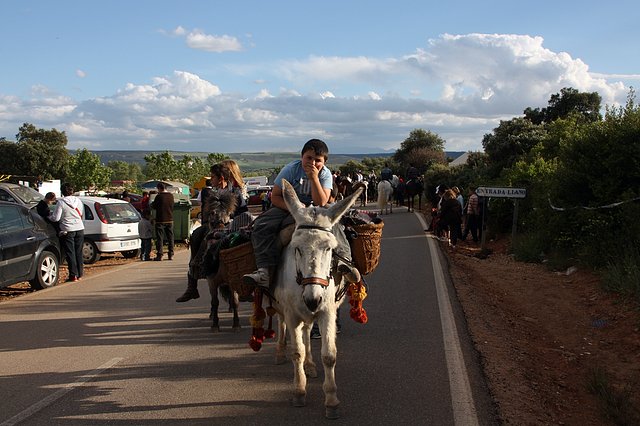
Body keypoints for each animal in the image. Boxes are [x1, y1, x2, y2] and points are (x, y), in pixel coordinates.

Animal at [268, 180, 362, 420]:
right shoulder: (292, 314)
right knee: (284, 328)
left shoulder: (326, 312)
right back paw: (280, 352)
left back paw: (310, 366)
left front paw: (331, 401)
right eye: (296, 248)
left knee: (307, 332)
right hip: (282, 308)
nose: (313, 299)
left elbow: (328, 355)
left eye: (329, 248)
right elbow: (296, 352)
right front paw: (299, 392)